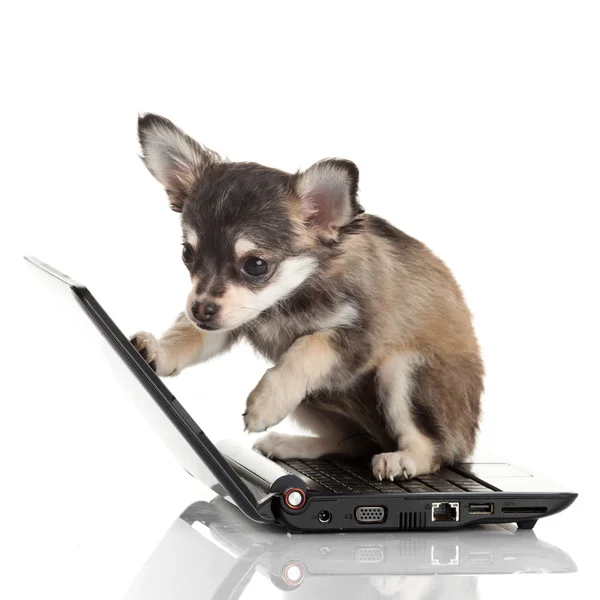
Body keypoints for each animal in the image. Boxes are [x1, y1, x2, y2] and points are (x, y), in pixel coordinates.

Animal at [130, 113, 482, 478]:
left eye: (255, 265)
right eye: (187, 254)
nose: (199, 309)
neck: (292, 294)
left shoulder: (361, 338)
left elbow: (309, 345)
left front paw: (266, 401)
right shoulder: (231, 317)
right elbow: (190, 338)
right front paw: (159, 352)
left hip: (402, 370)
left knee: (432, 451)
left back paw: (403, 459)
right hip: (314, 400)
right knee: (357, 443)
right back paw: (293, 445)